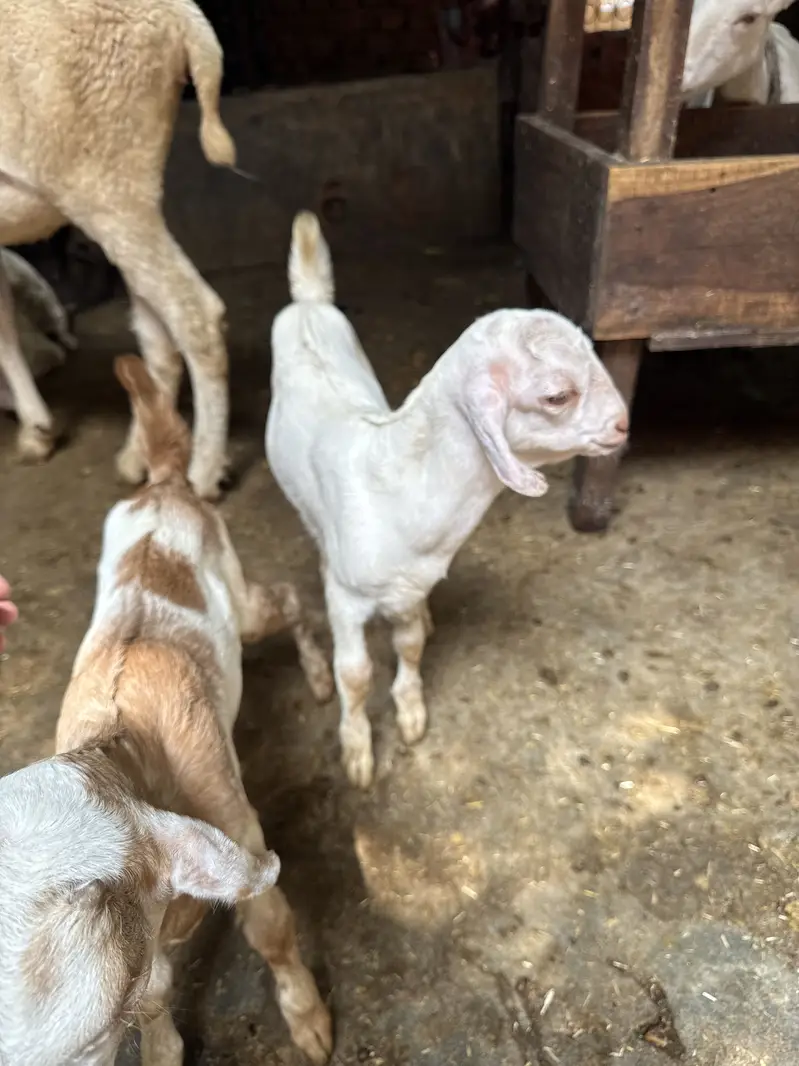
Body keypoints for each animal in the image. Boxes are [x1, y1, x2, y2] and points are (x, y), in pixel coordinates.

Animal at [0, 0, 239, 499]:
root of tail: (181, 15)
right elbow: (4, 327)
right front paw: (36, 428)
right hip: (127, 191)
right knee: (157, 335)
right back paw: (139, 456)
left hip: (103, 181)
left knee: (195, 314)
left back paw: (203, 472)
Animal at [0, 355, 334, 1066]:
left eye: (79, 1041)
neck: (122, 749)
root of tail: (165, 486)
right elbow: (155, 997)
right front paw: (161, 1044)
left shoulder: (232, 819)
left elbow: (271, 926)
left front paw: (309, 1020)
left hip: (240, 594)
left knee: (288, 599)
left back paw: (320, 676)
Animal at [266, 211, 630, 788]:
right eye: (557, 395)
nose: (623, 424)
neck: (394, 489)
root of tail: (307, 303)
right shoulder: (347, 601)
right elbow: (354, 674)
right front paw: (357, 748)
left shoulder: (411, 583)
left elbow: (410, 645)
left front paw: (412, 711)